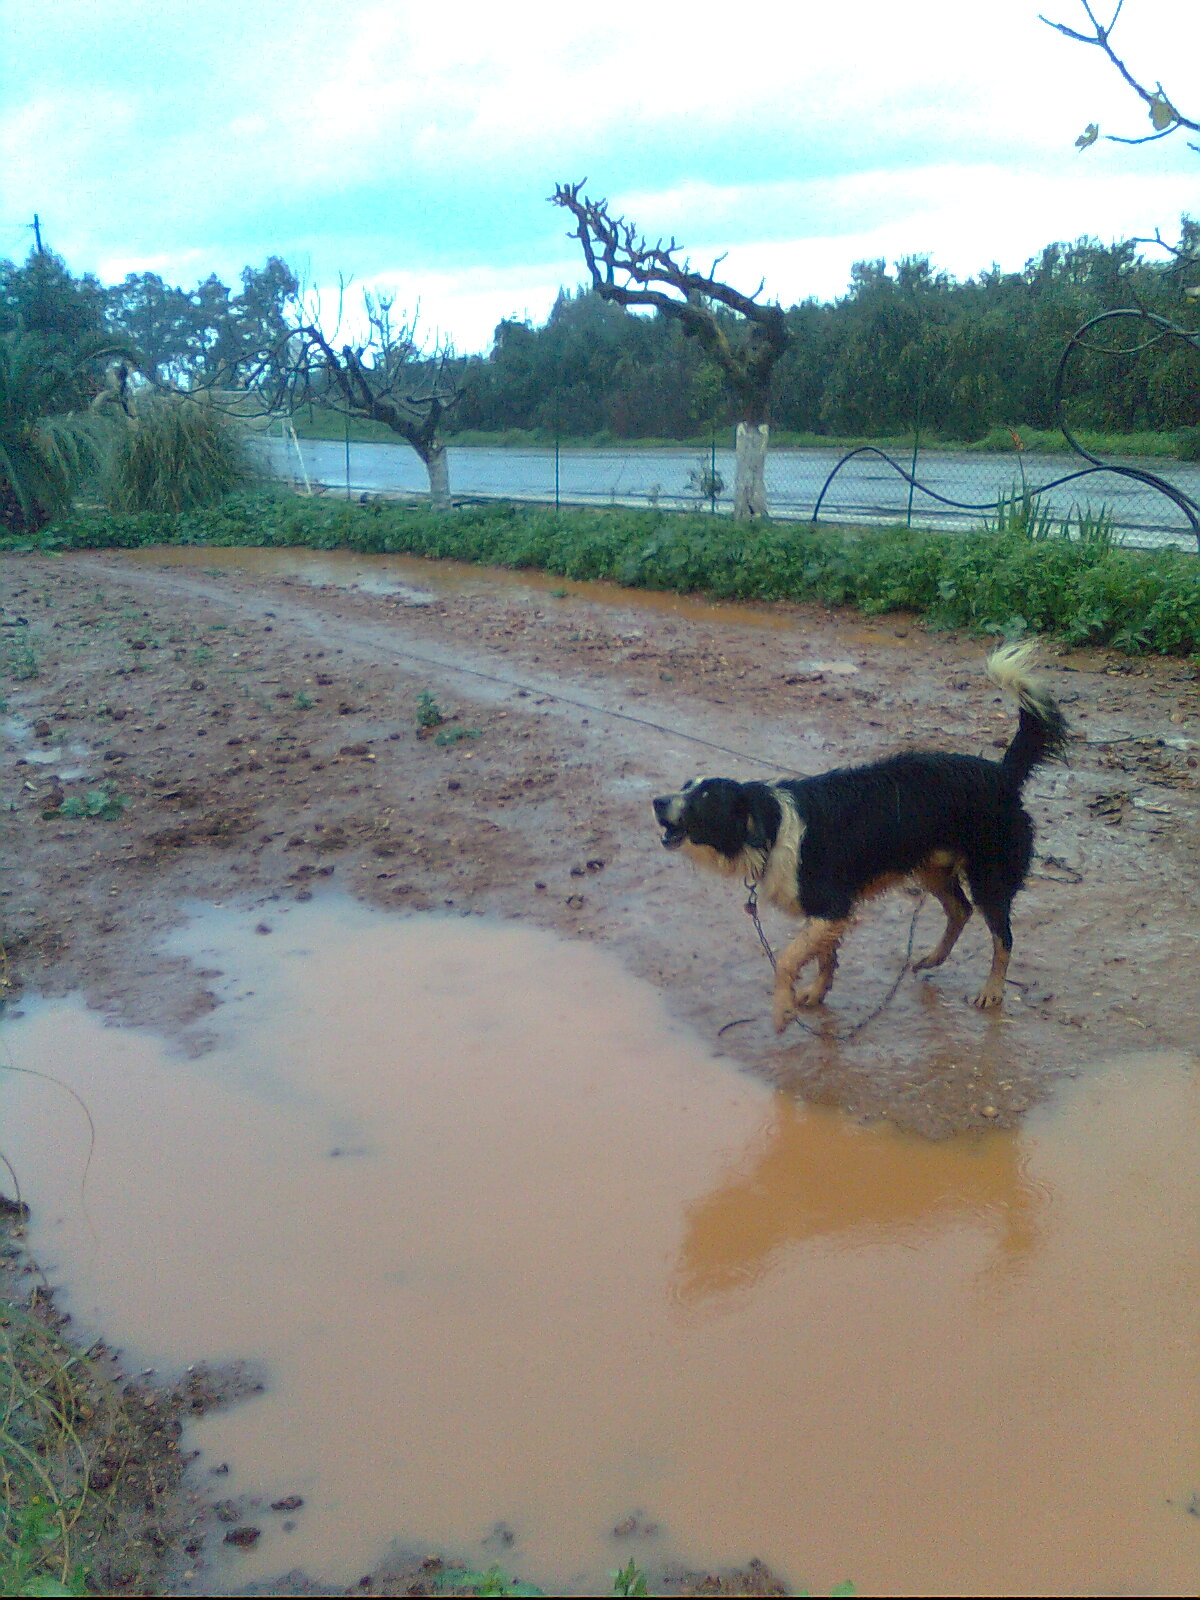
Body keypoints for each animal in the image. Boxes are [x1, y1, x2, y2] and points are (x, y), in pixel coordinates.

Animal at [659, 643, 1068, 1030]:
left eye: (704, 798)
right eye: (686, 786)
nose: (656, 802)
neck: (770, 828)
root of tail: (1002, 774)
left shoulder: (830, 904)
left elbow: (787, 960)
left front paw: (782, 1011)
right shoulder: (828, 913)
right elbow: (824, 958)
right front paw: (816, 993)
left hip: (989, 874)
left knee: (1002, 936)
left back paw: (992, 991)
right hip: (931, 867)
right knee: (960, 910)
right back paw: (931, 959)